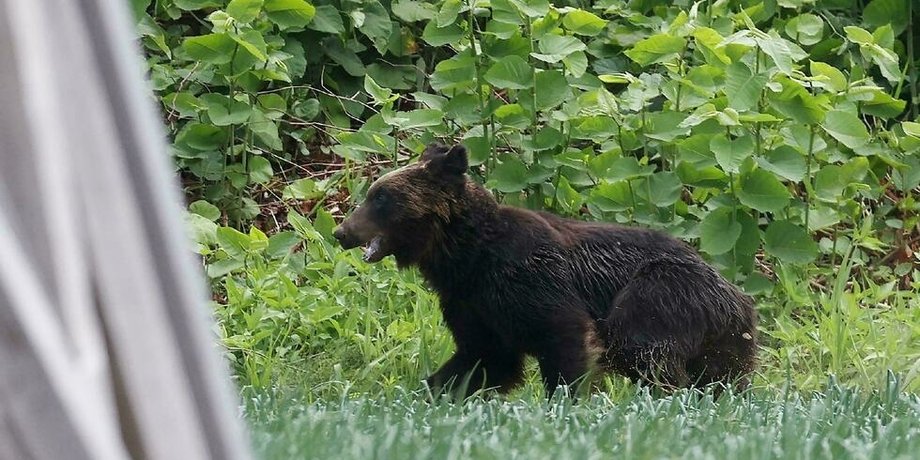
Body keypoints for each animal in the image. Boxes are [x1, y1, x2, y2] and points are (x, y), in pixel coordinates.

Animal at [333, 143, 758, 397]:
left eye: (381, 197)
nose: (341, 231)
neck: (465, 256)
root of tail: (736, 293)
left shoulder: (530, 278)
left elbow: (564, 336)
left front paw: (565, 400)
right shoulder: (471, 302)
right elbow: (482, 358)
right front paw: (432, 390)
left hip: (661, 292)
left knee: (642, 347)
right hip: (726, 339)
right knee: (722, 376)